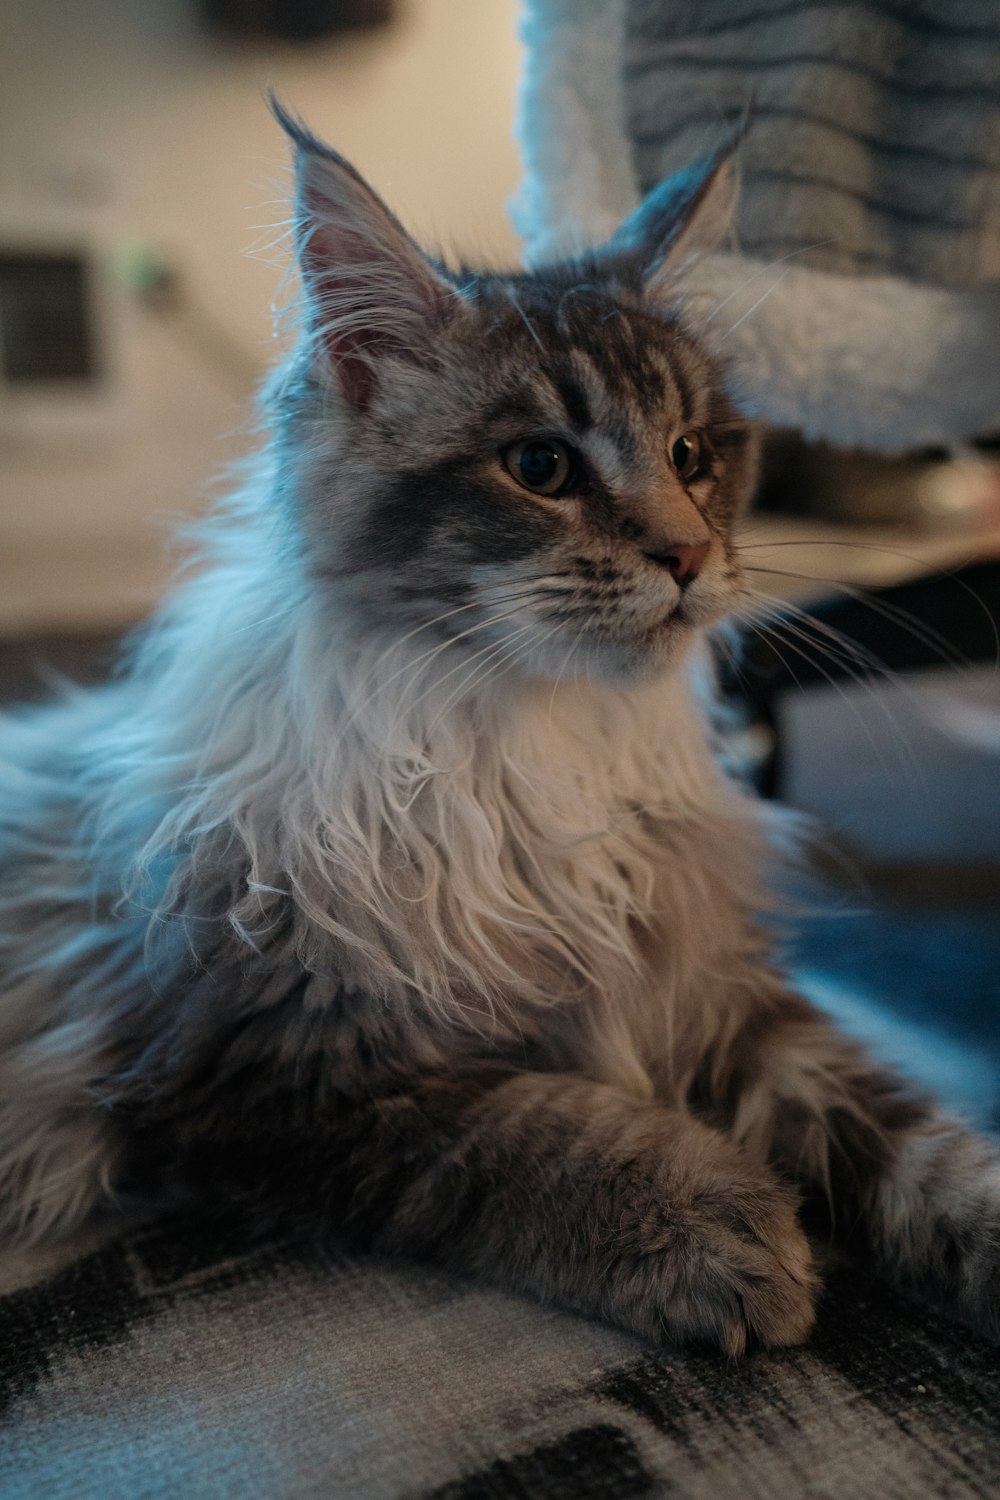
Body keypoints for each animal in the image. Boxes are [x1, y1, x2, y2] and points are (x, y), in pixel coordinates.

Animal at [0, 99, 995, 1356]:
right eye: (540, 467)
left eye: (691, 456)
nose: (687, 557)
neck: (543, 747)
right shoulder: (276, 1075)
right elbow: (545, 1134)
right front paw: (726, 1229)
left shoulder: (724, 992)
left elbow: (914, 1136)